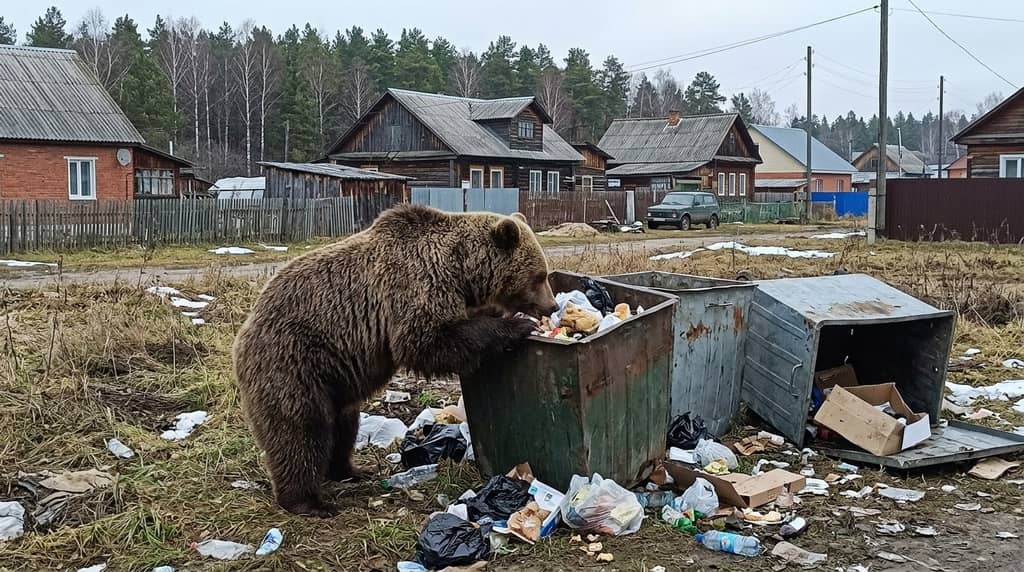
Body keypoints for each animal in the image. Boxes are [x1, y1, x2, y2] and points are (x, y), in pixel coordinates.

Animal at [232, 204, 558, 517]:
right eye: (539, 275)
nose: (552, 305)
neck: (459, 270)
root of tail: (245, 331)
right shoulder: (415, 285)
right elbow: (427, 341)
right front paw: (517, 326)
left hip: (332, 380)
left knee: (344, 424)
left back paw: (350, 471)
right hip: (294, 362)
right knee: (300, 430)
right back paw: (309, 502)